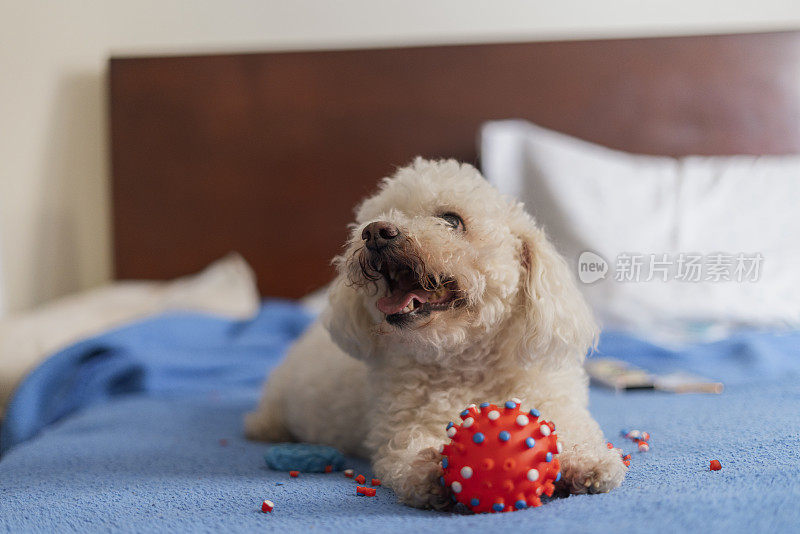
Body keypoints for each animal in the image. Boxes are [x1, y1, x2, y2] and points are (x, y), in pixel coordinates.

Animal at [244, 158, 624, 510]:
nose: (376, 232)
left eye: (452, 220)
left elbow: (574, 430)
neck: (468, 362)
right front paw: (427, 467)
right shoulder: (399, 424)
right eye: (378, 217)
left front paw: (588, 461)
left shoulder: (559, 403)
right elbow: (406, 450)